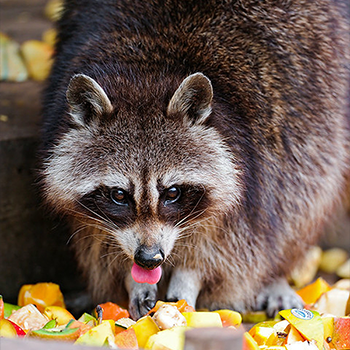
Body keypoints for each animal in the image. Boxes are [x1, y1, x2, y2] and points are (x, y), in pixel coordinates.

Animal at [39, 0, 348, 320]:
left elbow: (235, 246)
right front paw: (131, 277)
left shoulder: (256, 159)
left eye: (173, 193)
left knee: (303, 191)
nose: (149, 258)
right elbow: (98, 241)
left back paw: (277, 275)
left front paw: (190, 275)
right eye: (119, 195)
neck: (146, 72)